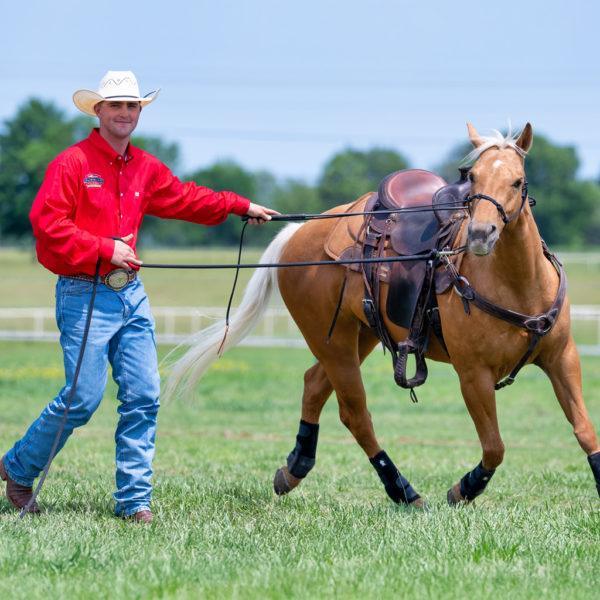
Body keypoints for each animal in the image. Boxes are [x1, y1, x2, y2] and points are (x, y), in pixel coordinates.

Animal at [166, 123, 600, 506]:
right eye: (473, 177)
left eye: (516, 181)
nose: (480, 234)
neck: (516, 284)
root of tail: (300, 232)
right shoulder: (473, 374)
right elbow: (494, 447)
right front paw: (463, 489)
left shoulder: (562, 359)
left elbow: (585, 431)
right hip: (333, 341)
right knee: (355, 414)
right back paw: (403, 491)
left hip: (362, 335)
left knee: (314, 384)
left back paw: (294, 469)